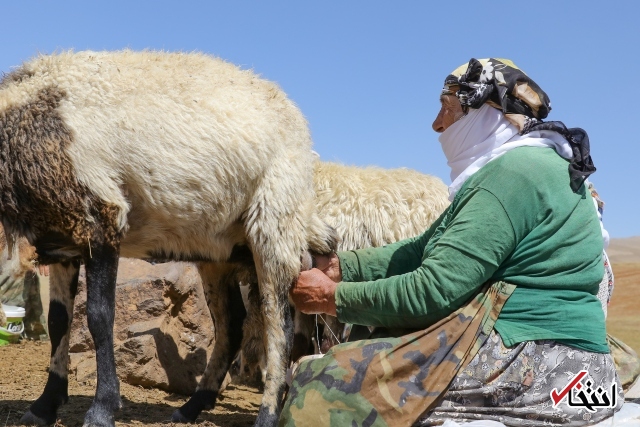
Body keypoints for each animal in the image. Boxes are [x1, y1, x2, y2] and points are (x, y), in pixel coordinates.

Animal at [0, 51, 338, 427]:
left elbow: (99, 317)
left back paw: (266, 413)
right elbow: (59, 321)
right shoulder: (63, 233)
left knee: (277, 323)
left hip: (275, 217)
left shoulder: (101, 218)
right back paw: (193, 405)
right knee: (232, 323)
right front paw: (44, 405)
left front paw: (102, 408)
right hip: (220, 249)